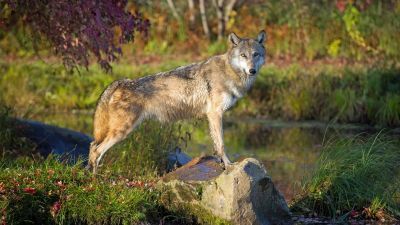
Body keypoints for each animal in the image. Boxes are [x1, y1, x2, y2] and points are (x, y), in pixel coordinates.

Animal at [87, 30, 266, 173]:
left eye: (255, 54)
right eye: (243, 55)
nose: (252, 70)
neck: (229, 72)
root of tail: (120, 82)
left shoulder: (213, 116)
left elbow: (216, 144)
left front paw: (222, 164)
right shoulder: (215, 114)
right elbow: (222, 145)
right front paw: (229, 166)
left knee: (92, 146)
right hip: (122, 131)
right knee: (96, 151)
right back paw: (98, 182)